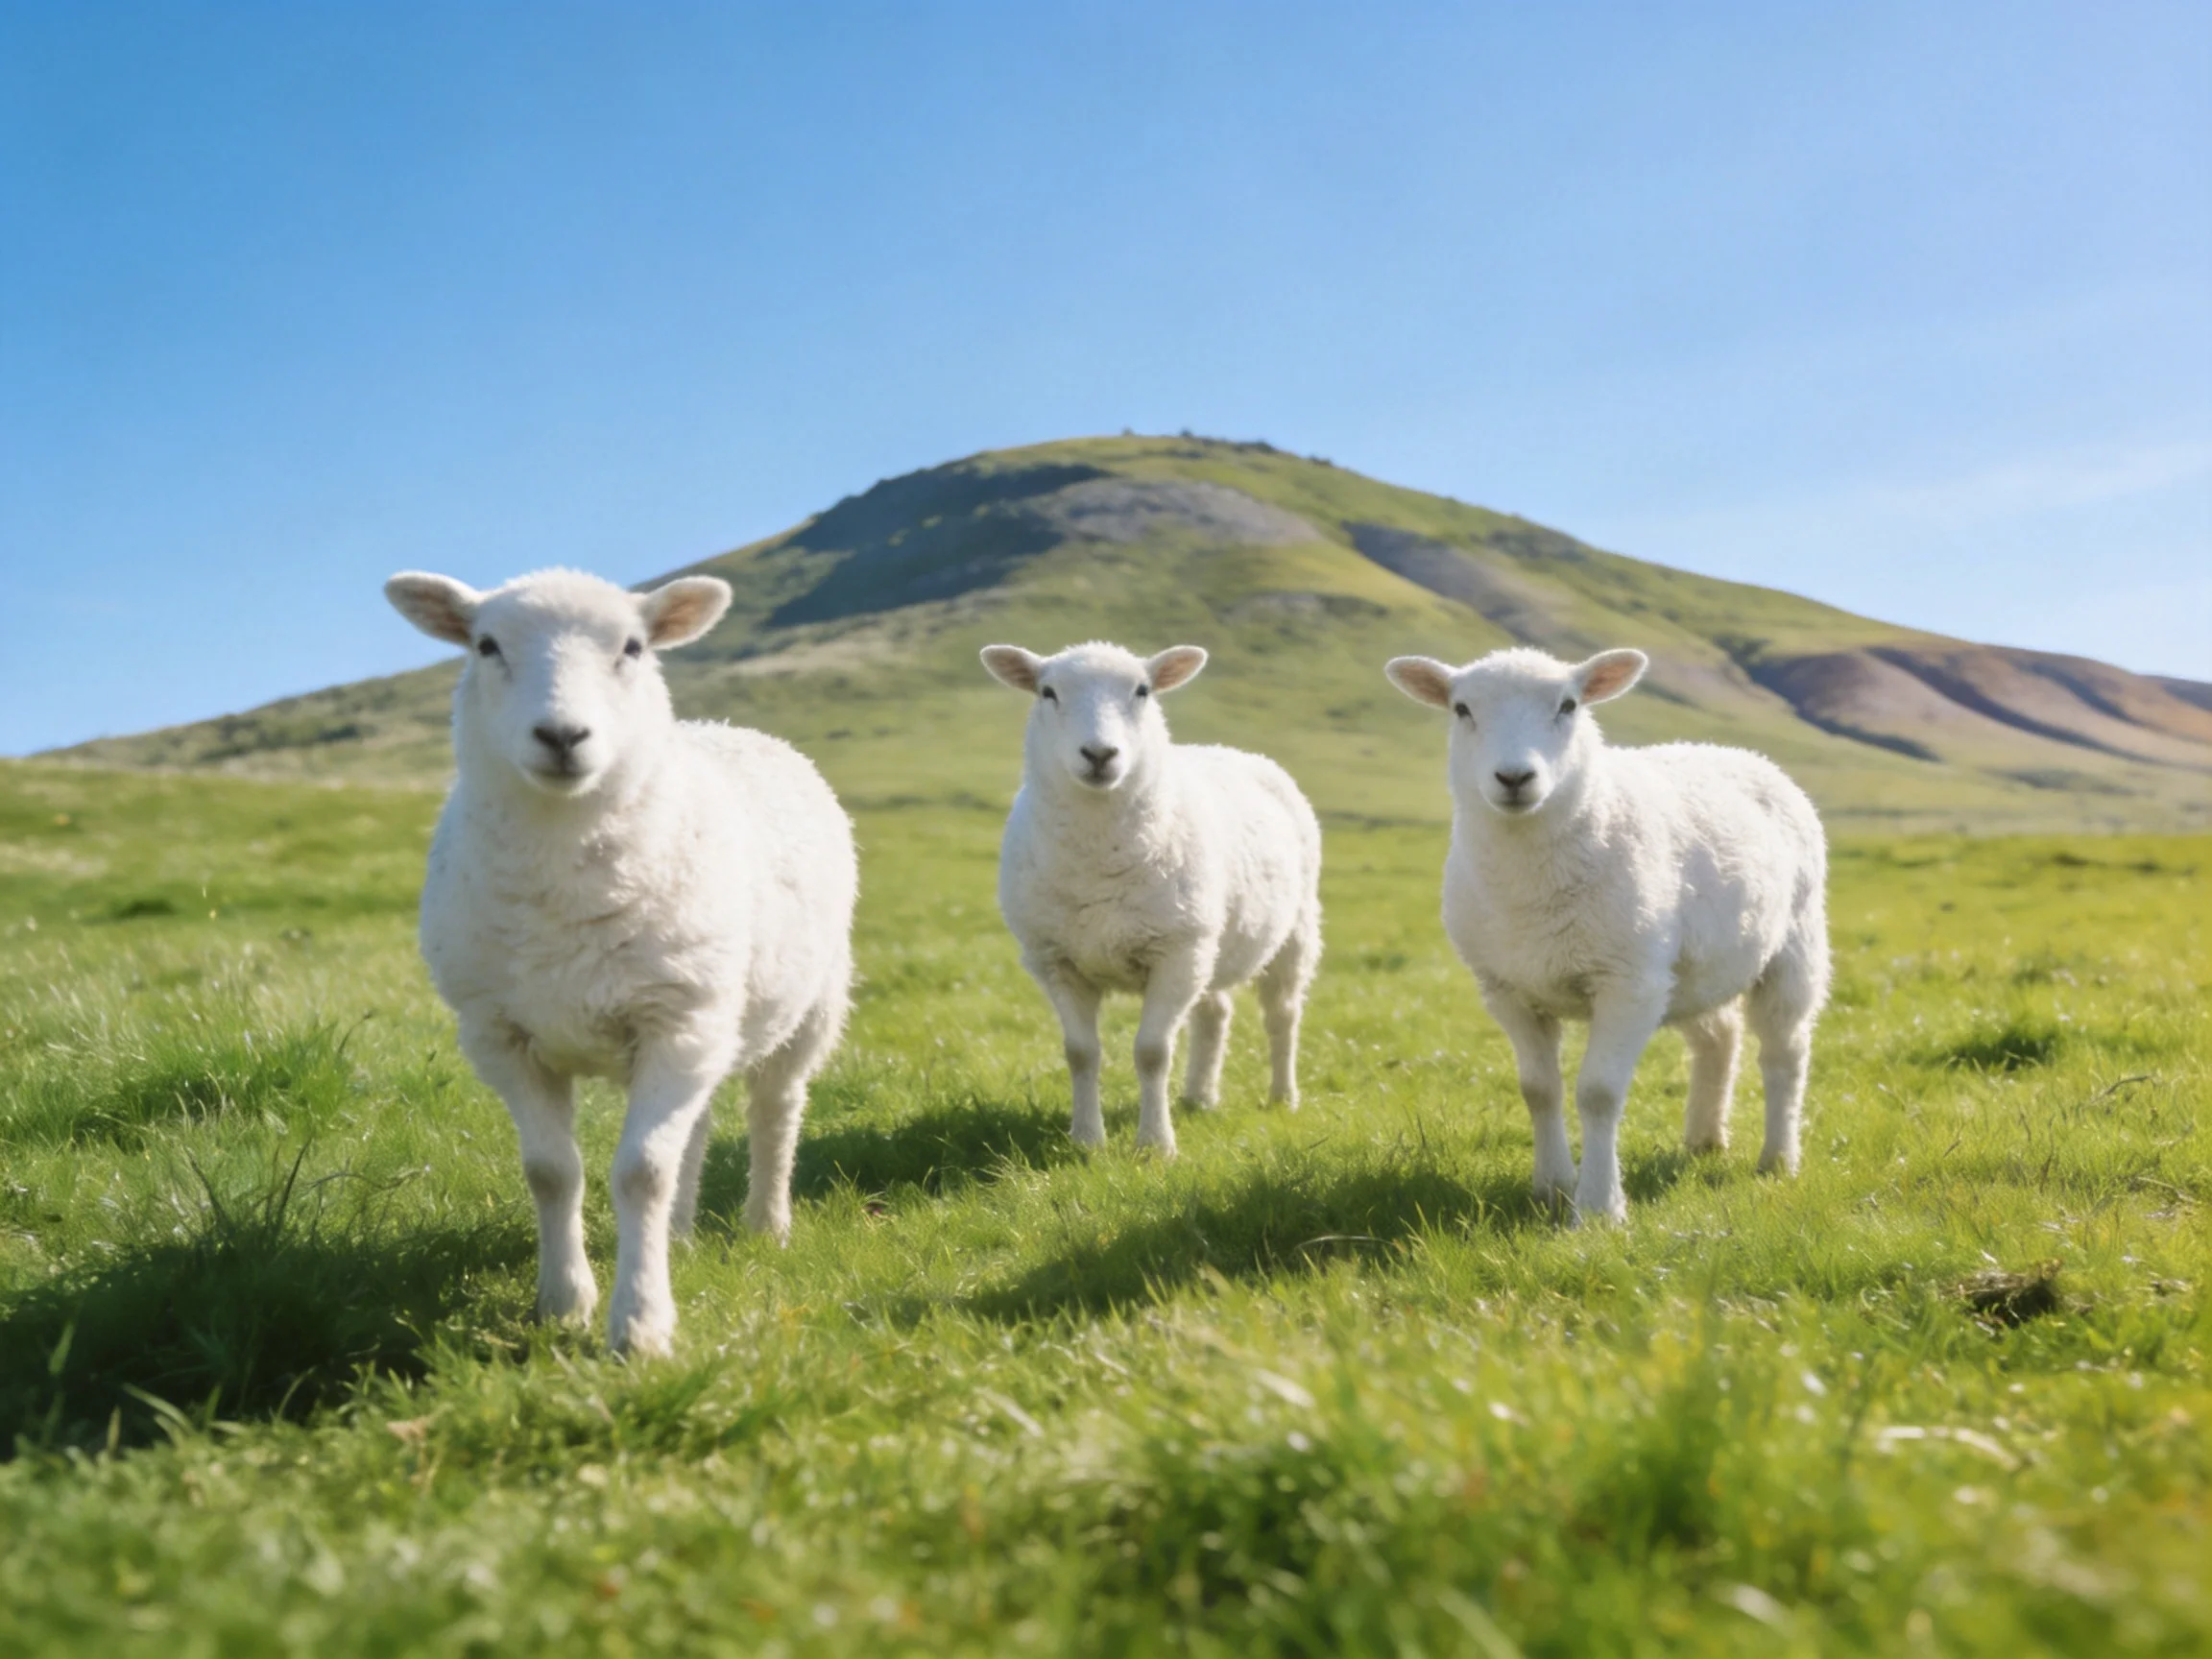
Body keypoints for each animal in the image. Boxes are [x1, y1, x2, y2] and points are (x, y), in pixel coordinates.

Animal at [384, 566, 857, 1356]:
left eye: (633, 647)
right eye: (486, 645)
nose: (562, 735)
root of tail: (728, 729)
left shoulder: (677, 1020)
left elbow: (641, 1174)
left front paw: (640, 1325)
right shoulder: (503, 1035)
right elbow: (551, 1172)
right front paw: (563, 1302)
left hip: (804, 1007)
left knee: (775, 1111)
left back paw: (766, 1225)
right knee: (697, 1126)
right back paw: (683, 1237)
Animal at [981, 640, 1322, 1156]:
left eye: (1142, 690)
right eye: (1047, 692)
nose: (1100, 753)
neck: (1098, 861)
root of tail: (1227, 749)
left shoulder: (1175, 952)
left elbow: (1152, 1052)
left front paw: (1155, 1145)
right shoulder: (1055, 959)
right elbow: (1081, 1053)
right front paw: (1086, 1140)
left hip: (1290, 932)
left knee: (1282, 1017)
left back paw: (1283, 1097)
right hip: (1208, 941)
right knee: (1215, 1013)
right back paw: (1199, 1096)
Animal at [1383, 645, 1829, 1225]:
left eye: (1568, 705)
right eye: (1462, 709)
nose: (1514, 777)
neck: (1531, 887)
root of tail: (1736, 751)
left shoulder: (1628, 982)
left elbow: (1597, 1093)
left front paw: (1598, 1208)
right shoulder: (1506, 989)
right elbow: (1538, 1090)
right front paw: (1551, 1188)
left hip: (1792, 947)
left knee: (1784, 1056)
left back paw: (1777, 1159)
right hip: (1689, 970)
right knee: (1719, 1037)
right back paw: (1704, 1139)